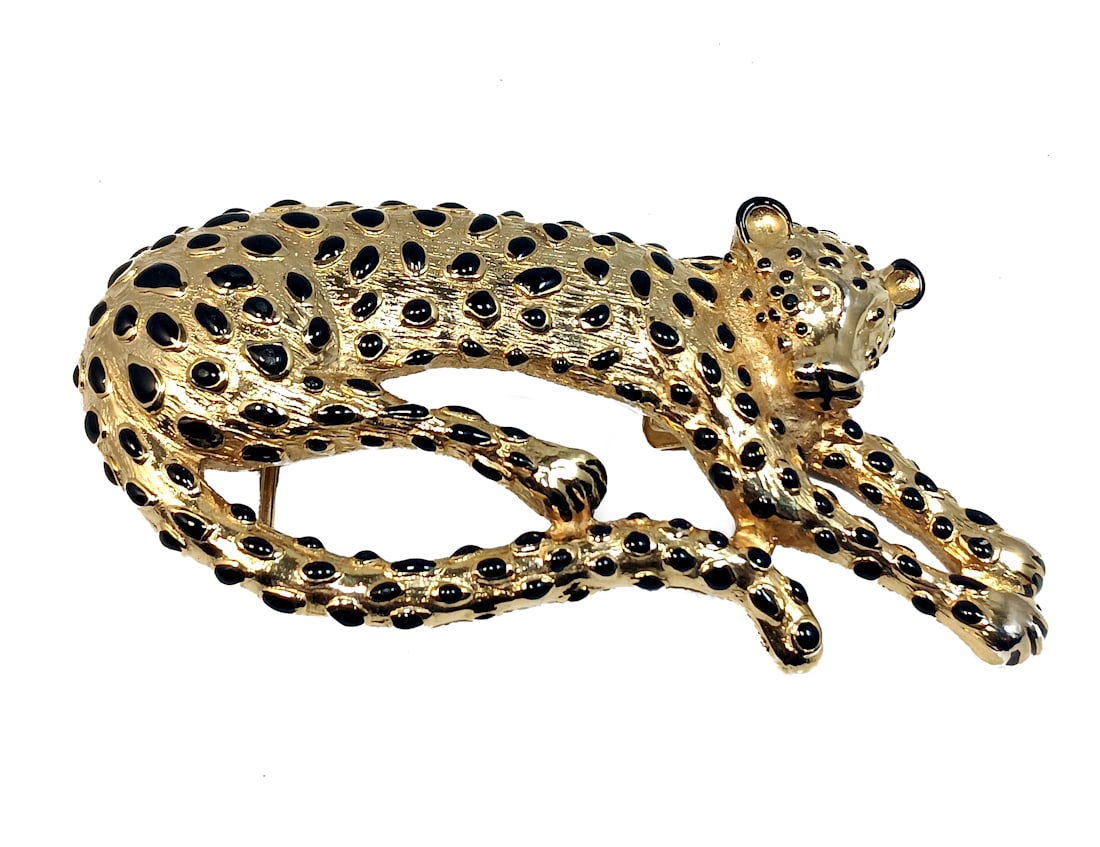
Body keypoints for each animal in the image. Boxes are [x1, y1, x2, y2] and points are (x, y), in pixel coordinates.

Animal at [75, 196, 1047, 671]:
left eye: (876, 317)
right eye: (803, 296)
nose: (837, 373)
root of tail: (101, 340)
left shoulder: (800, 428)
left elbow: (895, 472)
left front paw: (1002, 551)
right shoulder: (754, 454)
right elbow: (858, 533)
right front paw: (998, 611)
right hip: (272, 384)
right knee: (415, 414)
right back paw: (554, 468)